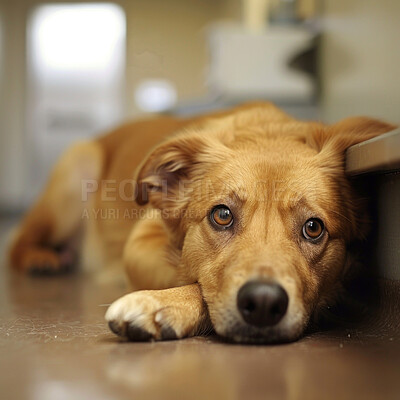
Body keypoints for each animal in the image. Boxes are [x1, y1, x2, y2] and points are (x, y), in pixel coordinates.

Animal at [7, 101, 396, 342]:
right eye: (221, 215)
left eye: (313, 228)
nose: (264, 303)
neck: (268, 132)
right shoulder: (141, 241)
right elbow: (191, 276)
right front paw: (165, 301)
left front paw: (164, 305)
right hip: (75, 170)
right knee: (15, 245)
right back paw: (43, 259)